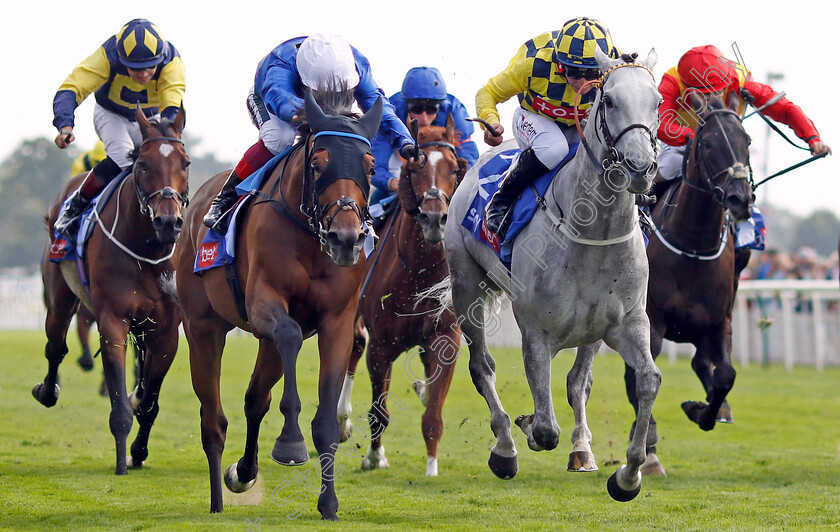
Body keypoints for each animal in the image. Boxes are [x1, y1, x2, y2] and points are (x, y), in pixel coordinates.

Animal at [35, 107, 189, 474]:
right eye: (143, 164)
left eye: (186, 163)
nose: (168, 222)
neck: (146, 251)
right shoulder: (113, 320)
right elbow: (120, 401)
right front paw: (122, 459)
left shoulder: (166, 330)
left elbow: (148, 400)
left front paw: (139, 451)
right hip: (60, 295)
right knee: (55, 346)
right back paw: (47, 391)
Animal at [176, 89, 386, 516]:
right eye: (319, 164)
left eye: (371, 168)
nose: (345, 238)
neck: (309, 235)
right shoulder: (264, 302)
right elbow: (288, 334)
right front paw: (290, 443)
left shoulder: (338, 321)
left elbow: (325, 418)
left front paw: (329, 503)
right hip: (203, 328)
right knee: (213, 421)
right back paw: (217, 500)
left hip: (264, 343)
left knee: (255, 398)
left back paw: (242, 472)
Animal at [336, 121, 470, 478]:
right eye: (414, 168)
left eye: (454, 169)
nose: (434, 218)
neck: (418, 273)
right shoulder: (382, 345)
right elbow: (379, 410)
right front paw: (374, 456)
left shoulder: (445, 336)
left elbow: (433, 416)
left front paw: (432, 468)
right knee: (353, 347)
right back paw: (342, 421)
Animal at [442, 47, 668, 500]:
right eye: (609, 100)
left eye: (657, 102)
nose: (640, 167)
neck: (593, 234)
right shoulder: (536, 333)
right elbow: (545, 428)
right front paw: (526, 426)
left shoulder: (627, 323)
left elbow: (646, 380)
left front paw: (628, 475)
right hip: (466, 287)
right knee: (482, 368)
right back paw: (505, 447)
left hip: (591, 331)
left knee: (578, 381)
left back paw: (582, 449)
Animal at [624, 93, 756, 476]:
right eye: (708, 144)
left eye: (747, 141)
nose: (740, 198)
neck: (693, 246)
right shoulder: (652, 323)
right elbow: (643, 378)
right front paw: (649, 447)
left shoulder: (719, 322)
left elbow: (726, 375)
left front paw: (701, 410)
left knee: (702, 363)